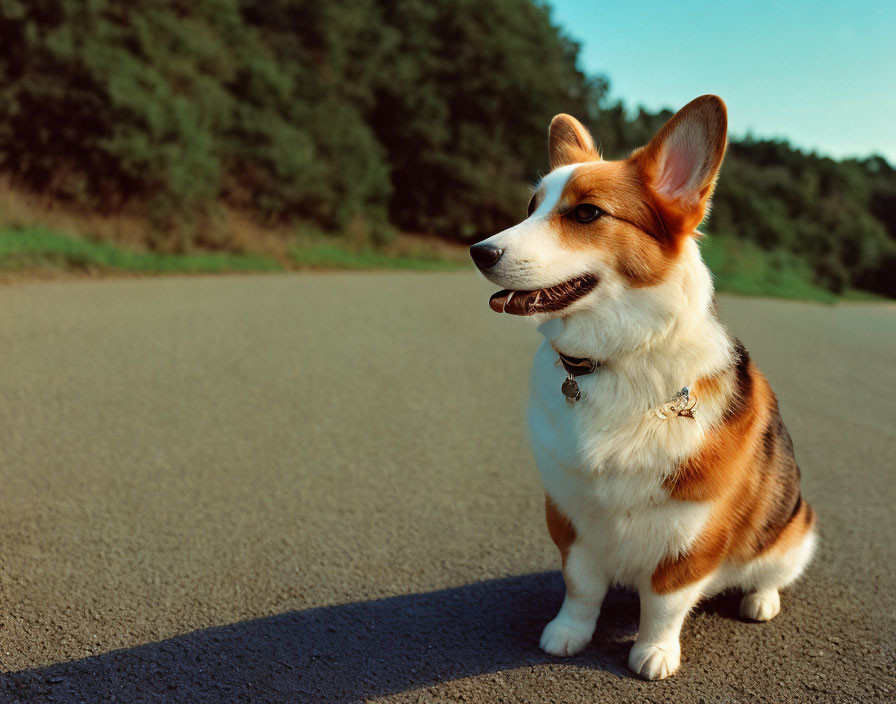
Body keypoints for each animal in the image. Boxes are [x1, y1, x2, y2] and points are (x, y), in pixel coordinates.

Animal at [472, 96, 816, 680]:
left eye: (586, 213)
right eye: (531, 206)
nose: (478, 251)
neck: (615, 361)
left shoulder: (691, 533)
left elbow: (664, 603)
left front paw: (653, 654)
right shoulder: (569, 515)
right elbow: (581, 588)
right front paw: (567, 634)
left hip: (796, 528)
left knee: (770, 573)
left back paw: (760, 600)